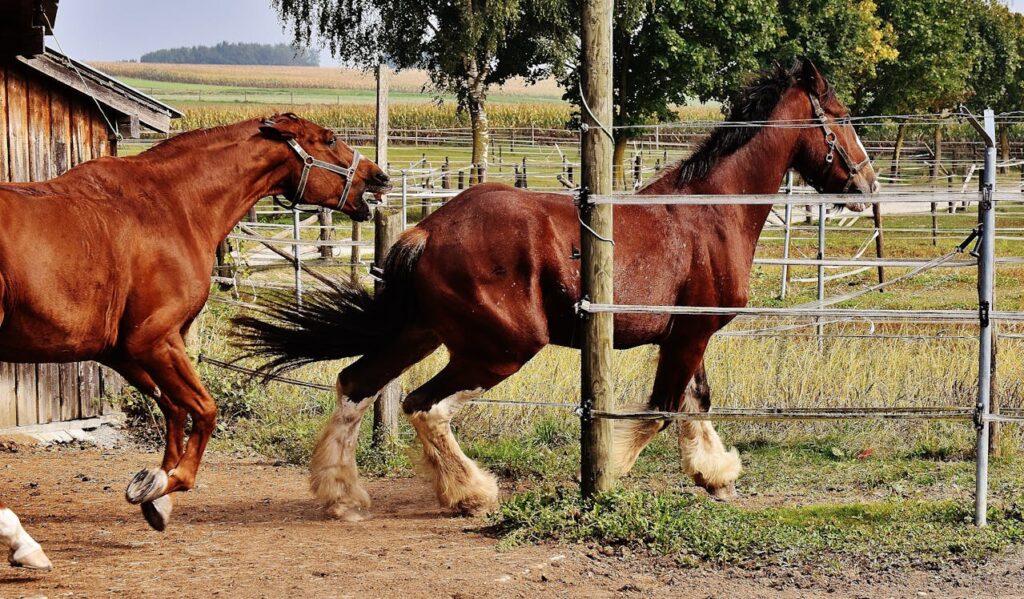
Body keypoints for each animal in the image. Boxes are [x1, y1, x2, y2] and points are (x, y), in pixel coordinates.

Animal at [0, 113, 389, 553]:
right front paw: (167, 483)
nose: (379, 176)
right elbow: (203, 410)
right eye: (330, 138)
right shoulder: (154, 341)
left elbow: (174, 409)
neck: (172, 205)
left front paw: (156, 496)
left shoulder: (124, 351)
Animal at [234, 59, 879, 521]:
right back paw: (470, 494)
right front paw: (611, 477)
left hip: (421, 334)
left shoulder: (685, 335)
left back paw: (342, 497)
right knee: (425, 405)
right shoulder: (690, 333)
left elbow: (695, 402)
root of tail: (427, 228)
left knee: (355, 384)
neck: (708, 213)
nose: (867, 185)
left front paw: (716, 476)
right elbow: (660, 410)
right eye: (843, 116)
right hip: (501, 347)